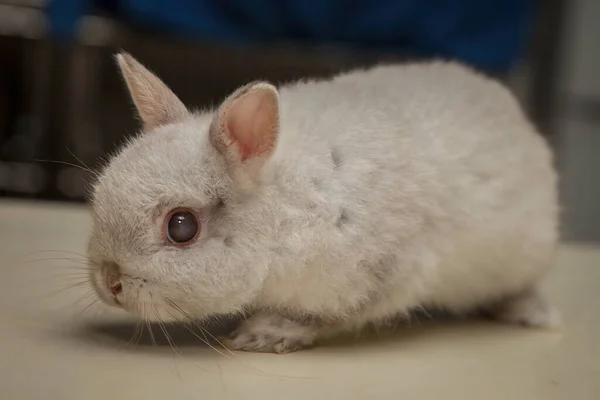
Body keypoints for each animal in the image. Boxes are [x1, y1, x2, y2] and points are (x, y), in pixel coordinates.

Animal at [86, 53, 560, 354]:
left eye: (181, 226)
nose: (109, 283)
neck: (282, 214)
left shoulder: (382, 275)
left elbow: (326, 317)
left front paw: (262, 335)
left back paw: (532, 313)